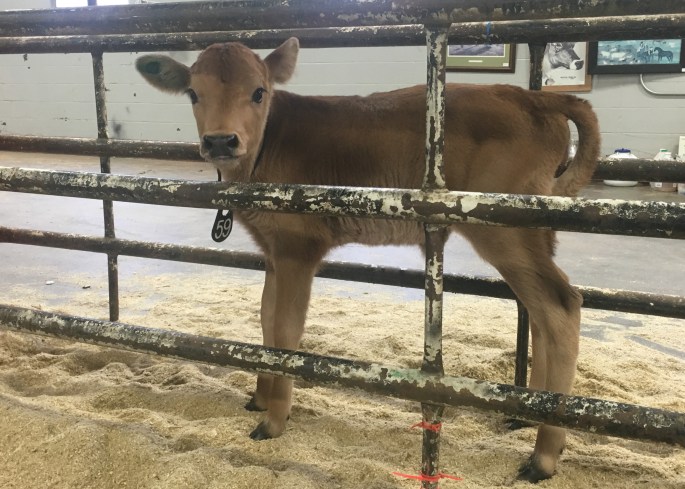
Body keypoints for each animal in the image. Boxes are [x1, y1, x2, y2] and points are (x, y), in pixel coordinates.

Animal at [136, 38, 601, 482]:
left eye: (258, 92)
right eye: (193, 93)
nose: (220, 141)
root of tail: (534, 98)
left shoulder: (297, 248)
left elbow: (285, 330)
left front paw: (275, 420)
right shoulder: (272, 251)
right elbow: (266, 318)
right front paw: (260, 396)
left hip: (505, 229)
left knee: (560, 305)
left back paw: (543, 455)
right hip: (531, 231)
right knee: (540, 308)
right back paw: (526, 415)